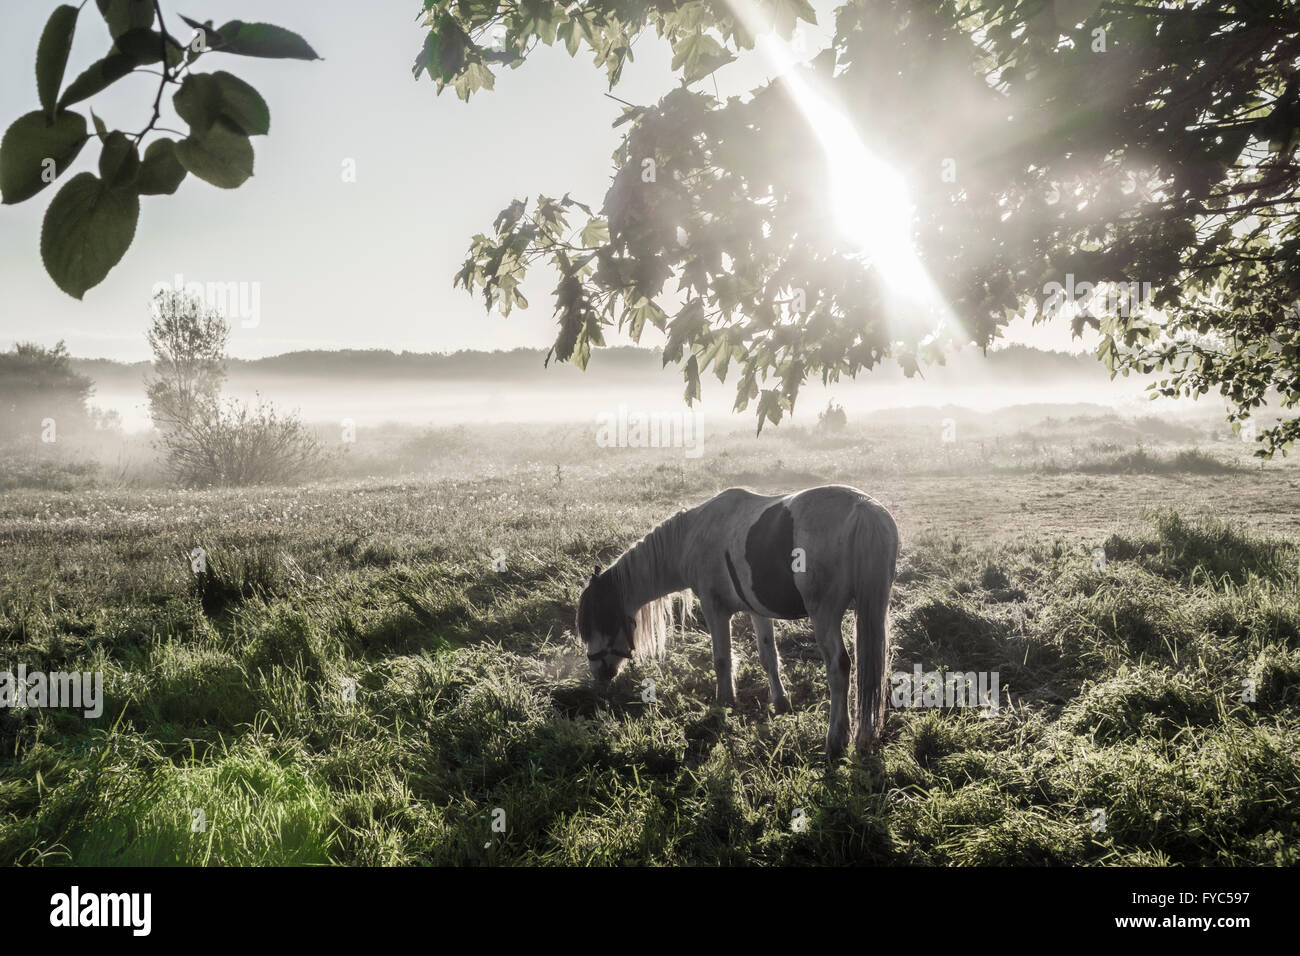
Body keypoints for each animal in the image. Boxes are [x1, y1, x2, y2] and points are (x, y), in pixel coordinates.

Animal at [574, 486, 899, 754]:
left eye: (598, 620)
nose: (598, 673)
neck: (692, 536)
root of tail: (863, 507)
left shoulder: (714, 608)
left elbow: (722, 660)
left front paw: (724, 704)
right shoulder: (758, 611)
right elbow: (769, 657)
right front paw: (780, 704)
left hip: (824, 614)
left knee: (838, 668)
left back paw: (835, 740)